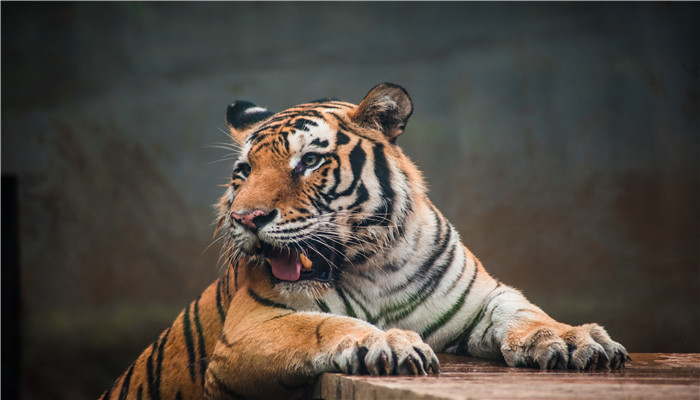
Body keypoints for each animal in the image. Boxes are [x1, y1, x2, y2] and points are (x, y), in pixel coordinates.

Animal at [100, 83, 629, 400]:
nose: (246, 218)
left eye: (309, 161)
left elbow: (526, 313)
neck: (375, 267)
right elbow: (322, 325)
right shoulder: (251, 326)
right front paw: (389, 341)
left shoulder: (483, 298)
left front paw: (574, 339)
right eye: (243, 172)